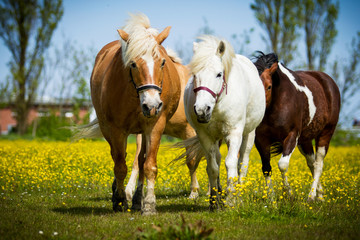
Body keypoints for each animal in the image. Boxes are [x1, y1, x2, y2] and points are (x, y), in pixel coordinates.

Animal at [89, 14, 186, 215]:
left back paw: (136, 199)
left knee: (140, 160)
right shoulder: (116, 129)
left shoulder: (155, 126)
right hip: (107, 128)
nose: (152, 105)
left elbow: (149, 165)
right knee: (118, 156)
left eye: (162, 62)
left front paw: (148, 204)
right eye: (133, 63)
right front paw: (119, 200)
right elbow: (120, 166)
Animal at [181, 35, 266, 208]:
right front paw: (214, 201)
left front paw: (232, 199)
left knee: (242, 163)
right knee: (219, 159)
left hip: (248, 134)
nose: (202, 109)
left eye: (219, 74)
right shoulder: (205, 136)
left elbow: (231, 164)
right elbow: (213, 167)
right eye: (194, 75)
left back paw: (238, 194)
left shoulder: (234, 134)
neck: (218, 103)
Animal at [253, 52, 340, 201]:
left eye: (269, 86)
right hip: (305, 140)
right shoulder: (261, 139)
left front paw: (289, 194)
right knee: (311, 163)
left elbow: (282, 165)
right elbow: (266, 168)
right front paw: (272, 200)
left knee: (318, 164)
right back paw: (320, 195)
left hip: (326, 133)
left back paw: (312, 196)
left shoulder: (292, 135)